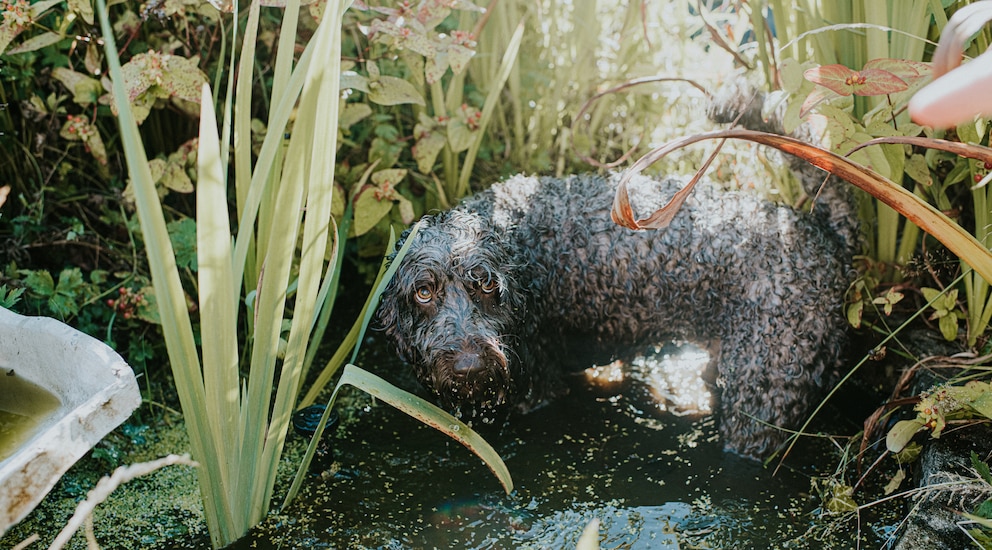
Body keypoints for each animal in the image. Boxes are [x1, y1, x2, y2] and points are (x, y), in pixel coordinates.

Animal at [376, 91, 856, 462]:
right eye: (423, 292)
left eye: (488, 285)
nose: (470, 367)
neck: (518, 239)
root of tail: (822, 232)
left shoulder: (538, 388)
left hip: (762, 394)